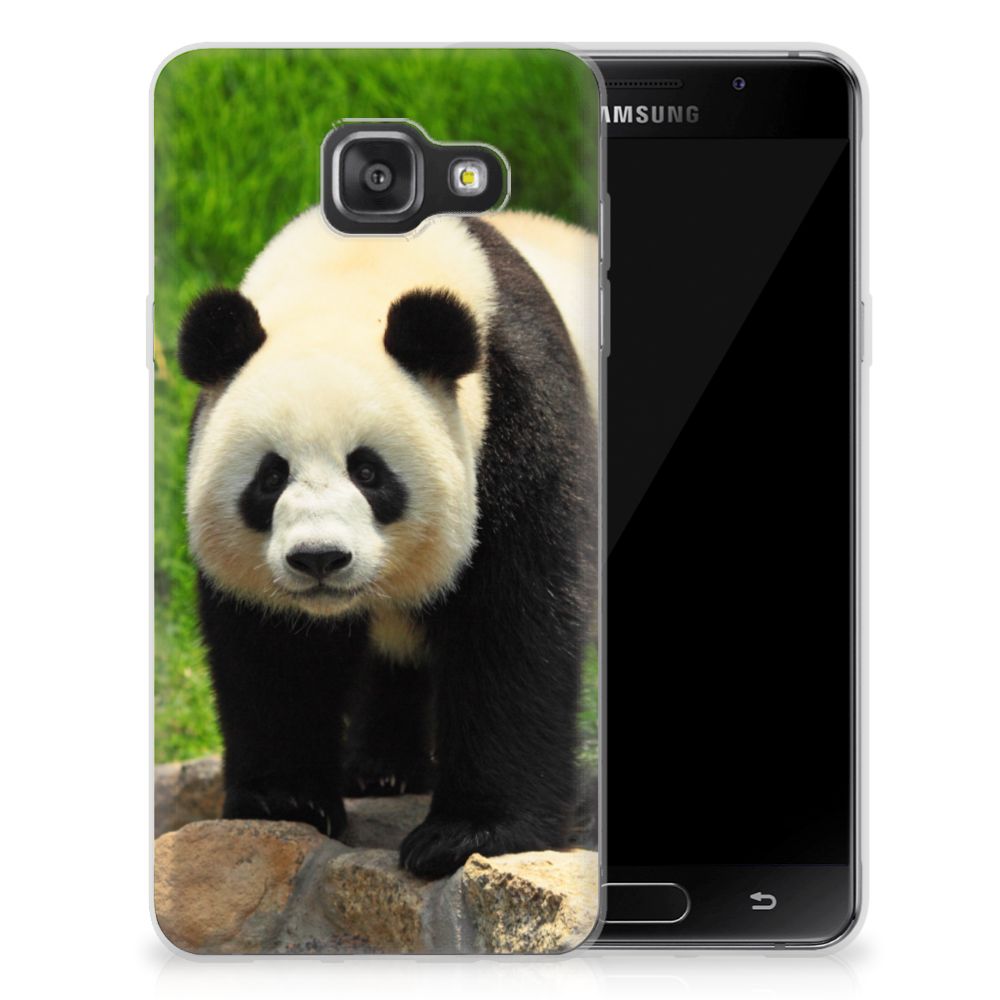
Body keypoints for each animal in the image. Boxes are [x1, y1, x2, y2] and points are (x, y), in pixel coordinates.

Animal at [178, 207, 598, 878]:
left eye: (369, 472)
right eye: (271, 477)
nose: (319, 559)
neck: (353, 273)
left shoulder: (519, 417)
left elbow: (514, 625)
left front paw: (468, 834)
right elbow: (274, 649)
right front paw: (285, 801)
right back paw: (381, 770)